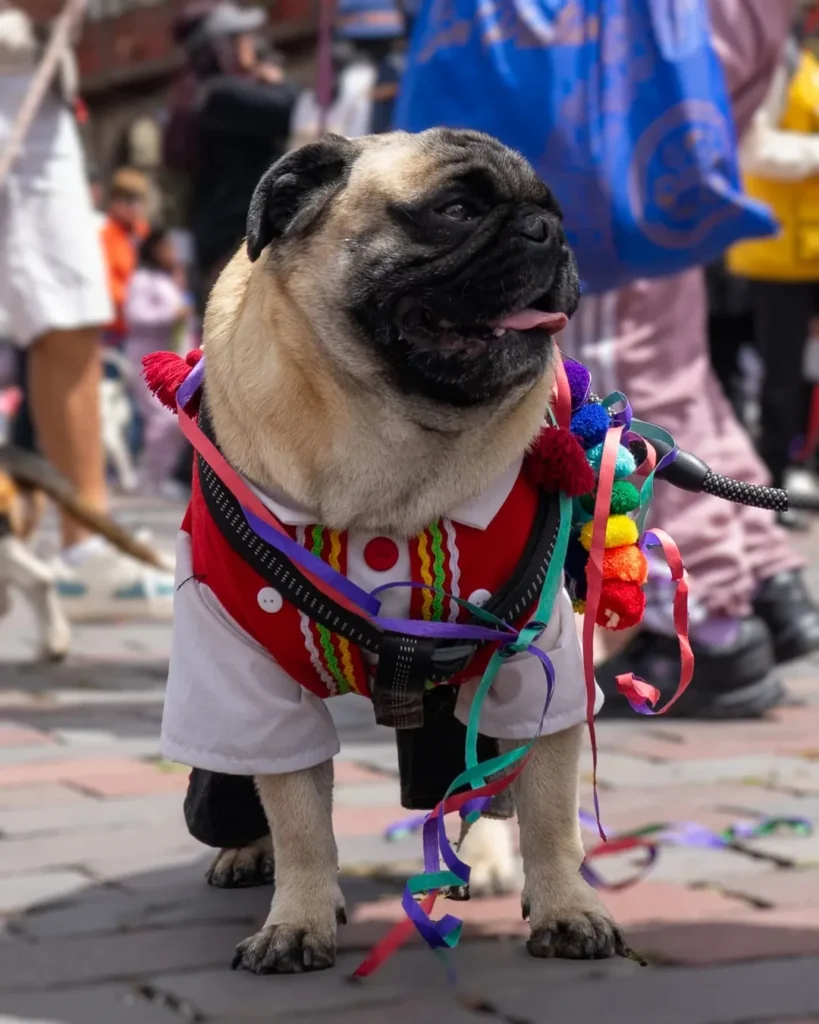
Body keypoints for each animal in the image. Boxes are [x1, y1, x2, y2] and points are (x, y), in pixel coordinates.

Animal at [164, 128, 626, 974]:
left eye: (553, 210)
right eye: (456, 210)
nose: (547, 232)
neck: (388, 449)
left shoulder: (533, 660)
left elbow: (547, 806)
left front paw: (565, 907)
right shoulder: (243, 671)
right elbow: (297, 814)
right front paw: (298, 919)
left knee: (478, 781)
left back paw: (483, 861)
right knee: (239, 786)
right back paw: (246, 852)